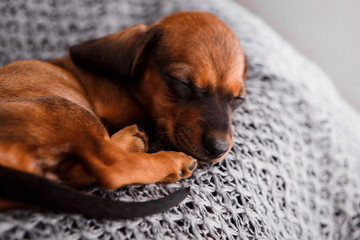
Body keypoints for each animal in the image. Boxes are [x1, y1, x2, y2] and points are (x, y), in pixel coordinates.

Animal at [0, 10, 248, 218]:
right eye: (181, 82)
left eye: (239, 99)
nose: (218, 148)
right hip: (67, 109)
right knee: (111, 167)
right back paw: (167, 159)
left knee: (75, 171)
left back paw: (132, 139)